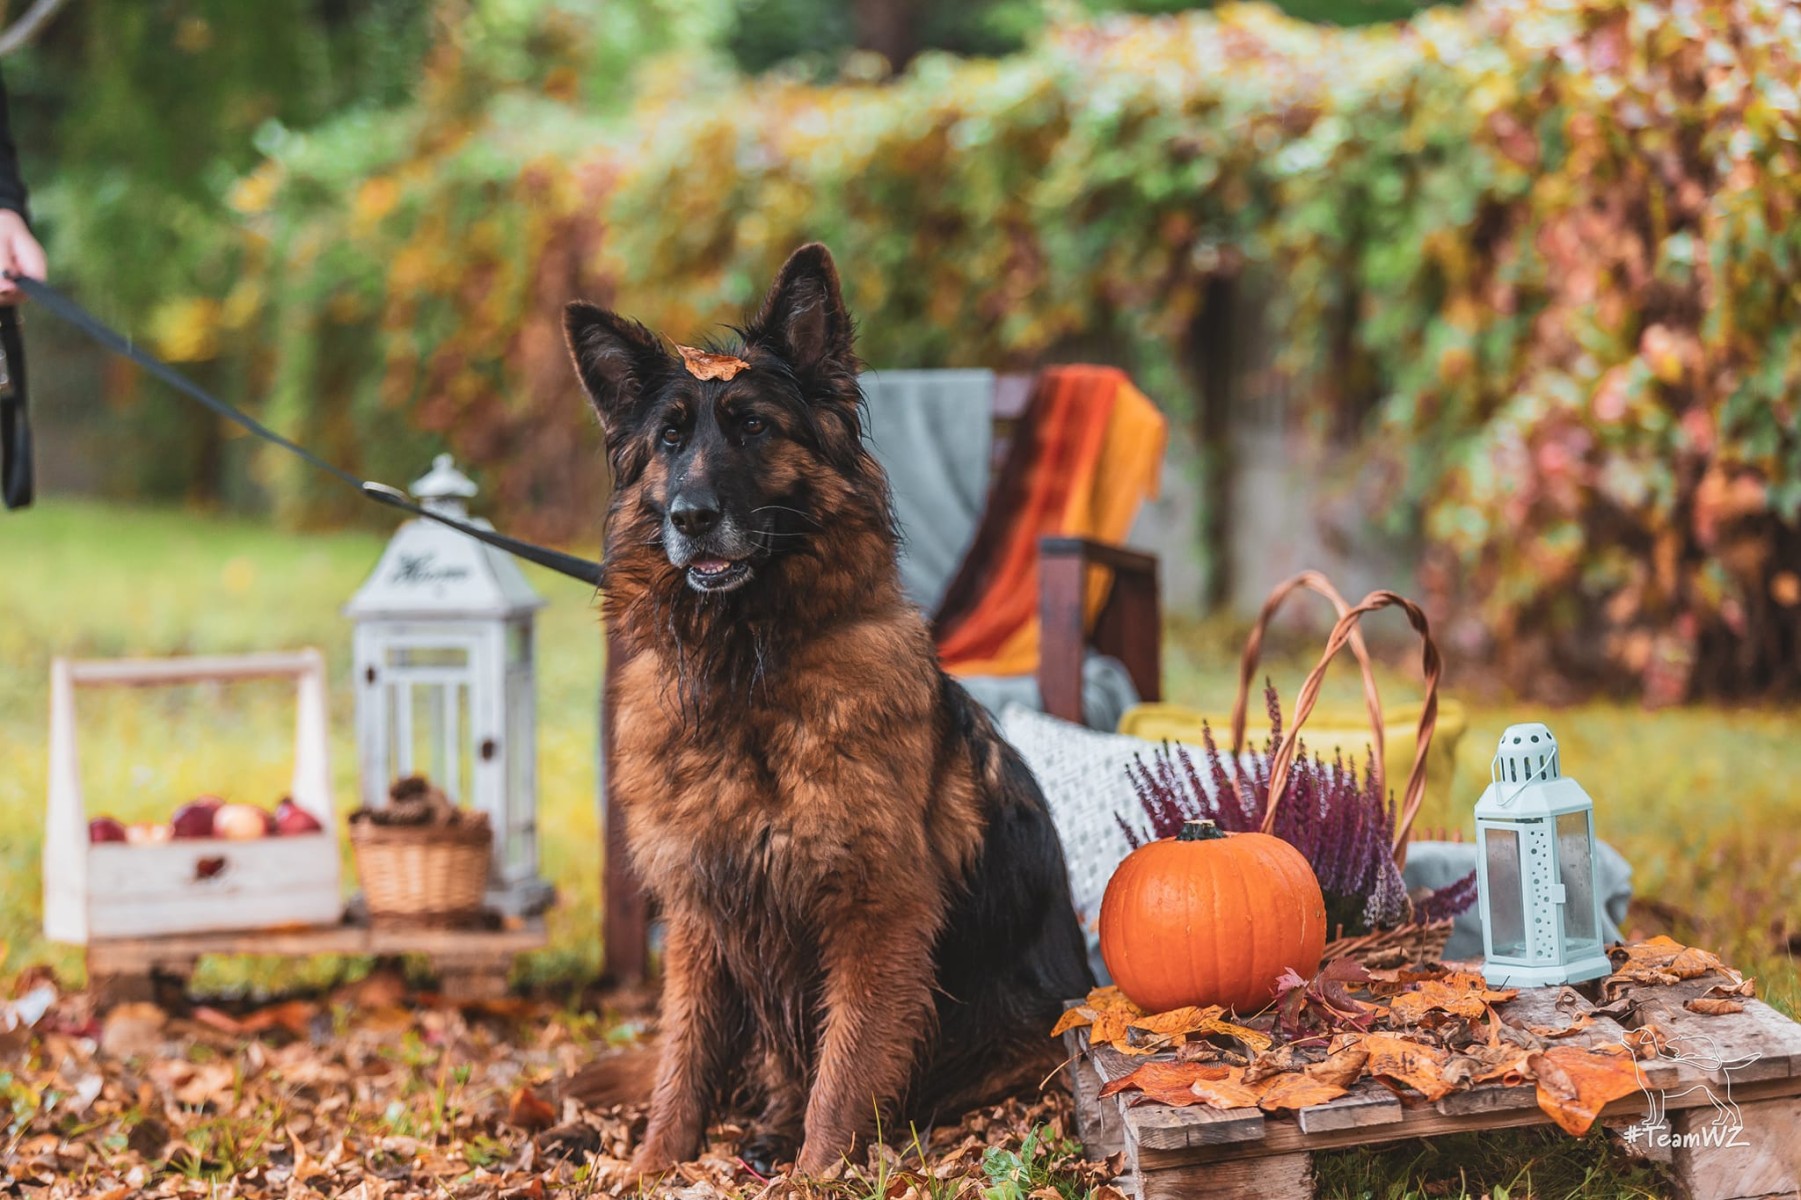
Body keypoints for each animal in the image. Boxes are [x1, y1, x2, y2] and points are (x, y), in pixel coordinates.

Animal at [569, 245, 1087, 1174]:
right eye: (670, 437)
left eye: (751, 427)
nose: (690, 518)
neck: (744, 669)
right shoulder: (700, 912)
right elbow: (682, 1058)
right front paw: (656, 1164)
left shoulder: (874, 911)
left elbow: (846, 1069)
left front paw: (817, 1175)